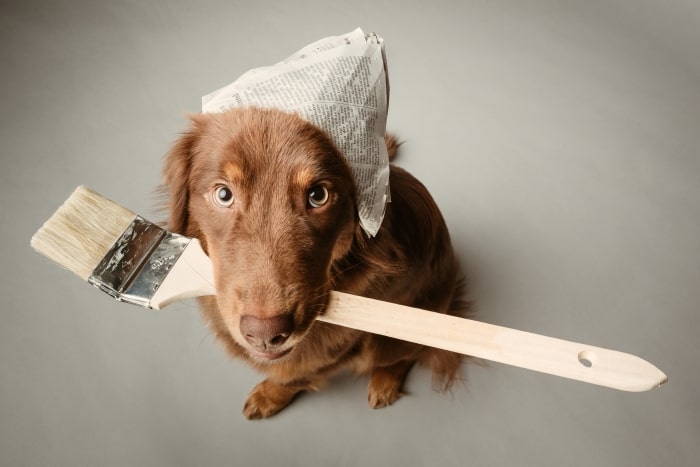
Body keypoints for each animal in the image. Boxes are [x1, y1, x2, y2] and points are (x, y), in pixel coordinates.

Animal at [163, 107, 468, 420]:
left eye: (318, 195)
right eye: (223, 194)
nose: (264, 333)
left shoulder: (333, 350)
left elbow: (294, 376)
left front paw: (270, 395)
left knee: (404, 354)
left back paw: (385, 382)